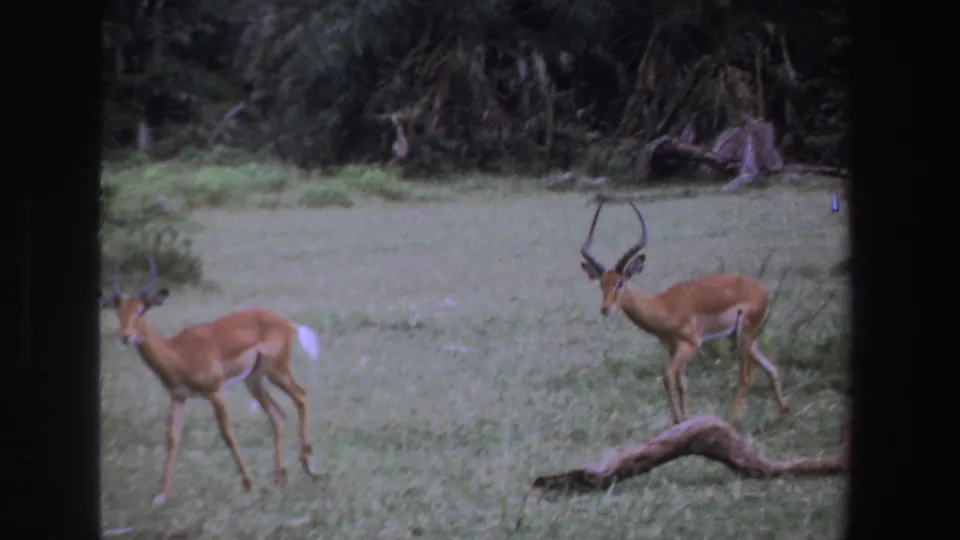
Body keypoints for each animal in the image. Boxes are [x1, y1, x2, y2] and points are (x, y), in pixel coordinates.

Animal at [101, 257, 322, 505]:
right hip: (253, 380)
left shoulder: (215, 392)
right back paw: (279, 481)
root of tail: (287, 322)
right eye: (118, 310)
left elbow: (227, 434)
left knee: (301, 395)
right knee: (278, 415)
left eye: (141, 309)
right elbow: (172, 438)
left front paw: (248, 483)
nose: (126, 336)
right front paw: (161, 495)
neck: (177, 352)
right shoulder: (178, 397)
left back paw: (310, 469)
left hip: (276, 372)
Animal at [579, 195, 790, 424]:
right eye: (602, 283)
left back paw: (732, 420)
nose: (605, 308)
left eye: (620, 283)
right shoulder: (672, 348)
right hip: (743, 337)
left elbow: (667, 377)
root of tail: (762, 289)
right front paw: (685, 419)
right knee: (772, 366)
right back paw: (783, 411)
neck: (664, 306)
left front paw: (679, 419)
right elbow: (682, 384)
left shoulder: (690, 345)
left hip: (744, 336)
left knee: (745, 378)